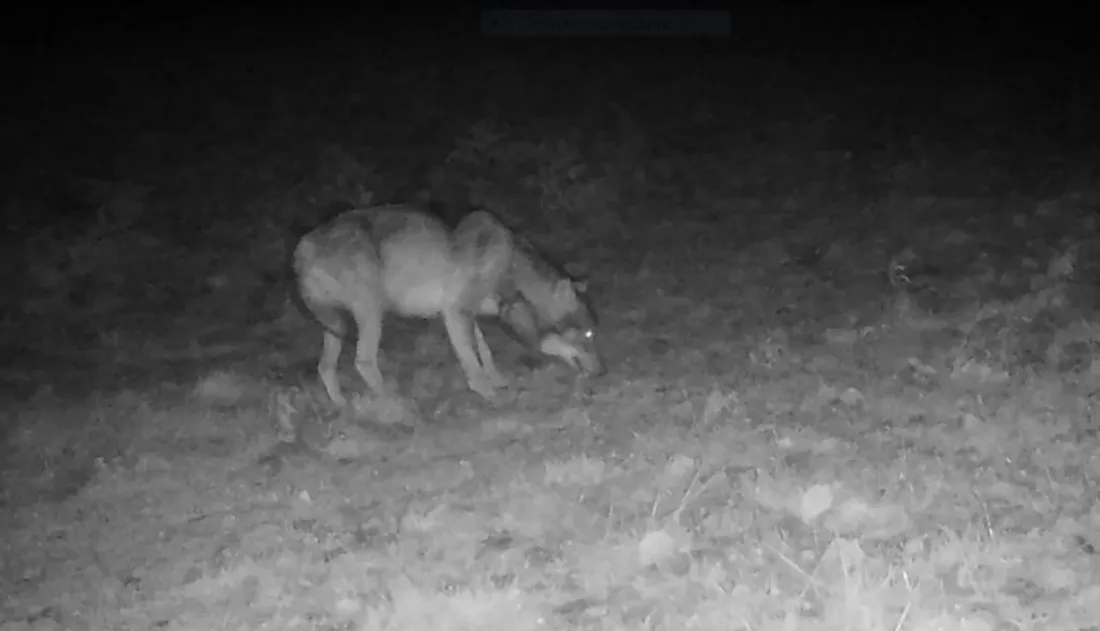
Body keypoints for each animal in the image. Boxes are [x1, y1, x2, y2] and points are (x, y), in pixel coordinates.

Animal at [292, 204, 602, 411]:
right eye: (588, 335)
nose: (604, 372)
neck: (511, 267)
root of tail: (303, 246)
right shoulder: (454, 312)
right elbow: (472, 361)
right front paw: (491, 394)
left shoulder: (469, 315)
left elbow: (485, 352)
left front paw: (498, 381)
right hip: (371, 313)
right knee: (363, 362)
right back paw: (397, 404)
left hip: (337, 324)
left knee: (325, 367)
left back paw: (342, 405)